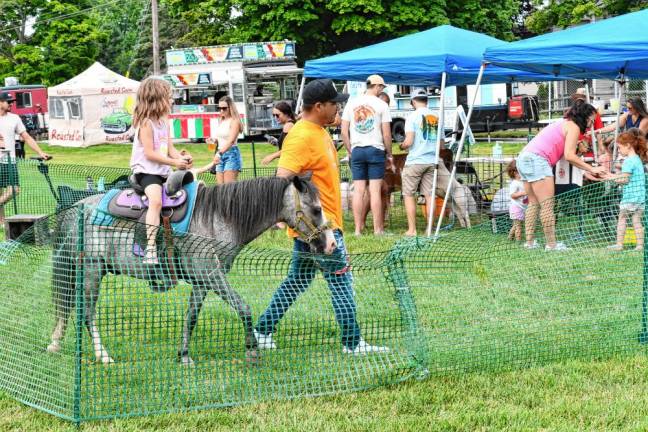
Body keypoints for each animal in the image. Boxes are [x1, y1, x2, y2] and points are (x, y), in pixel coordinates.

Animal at [45, 175, 334, 364]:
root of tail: (76, 207)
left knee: (69, 307)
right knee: (87, 314)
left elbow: (191, 317)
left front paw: (184, 356)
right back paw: (102, 355)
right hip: (92, 270)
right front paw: (252, 350)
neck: (218, 218)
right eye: (316, 208)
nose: (331, 243)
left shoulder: (202, 281)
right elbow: (243, 307)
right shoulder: (211, 275)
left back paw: (57, 342)